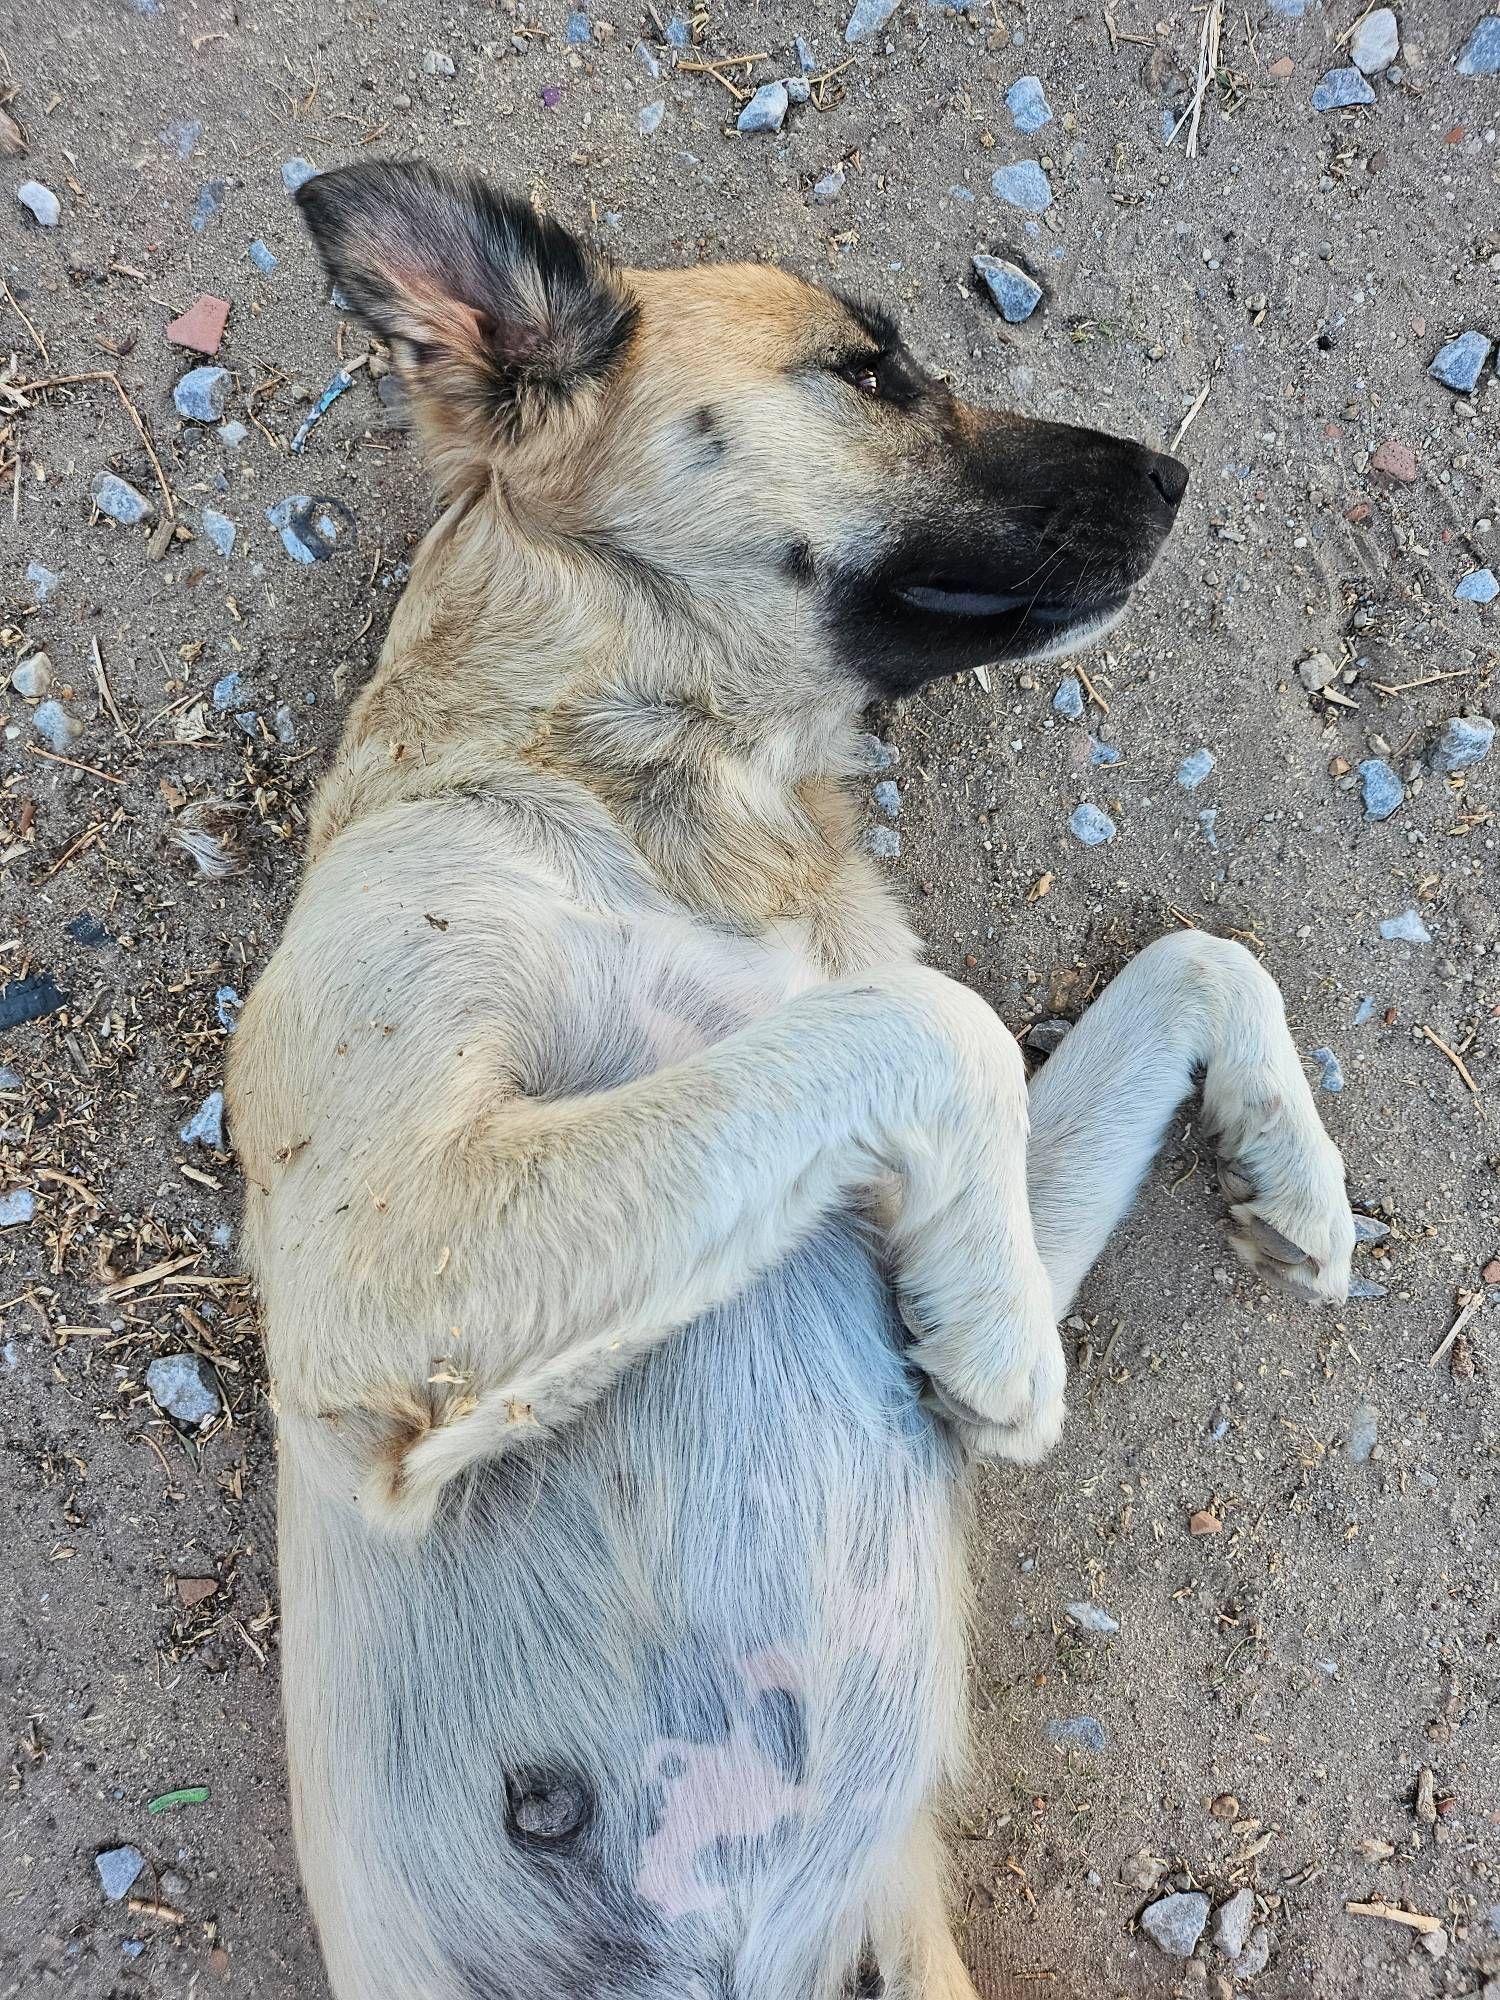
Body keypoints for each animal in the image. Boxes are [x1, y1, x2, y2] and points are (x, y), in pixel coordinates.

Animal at [226, 160, 1360, 2000]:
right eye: (870, 370)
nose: (1184, 474)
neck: (697, 794)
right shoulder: (373, 1273)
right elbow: (925, 1023)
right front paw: (1002, 1350)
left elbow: (1193, 958)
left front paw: (1285, 1181)